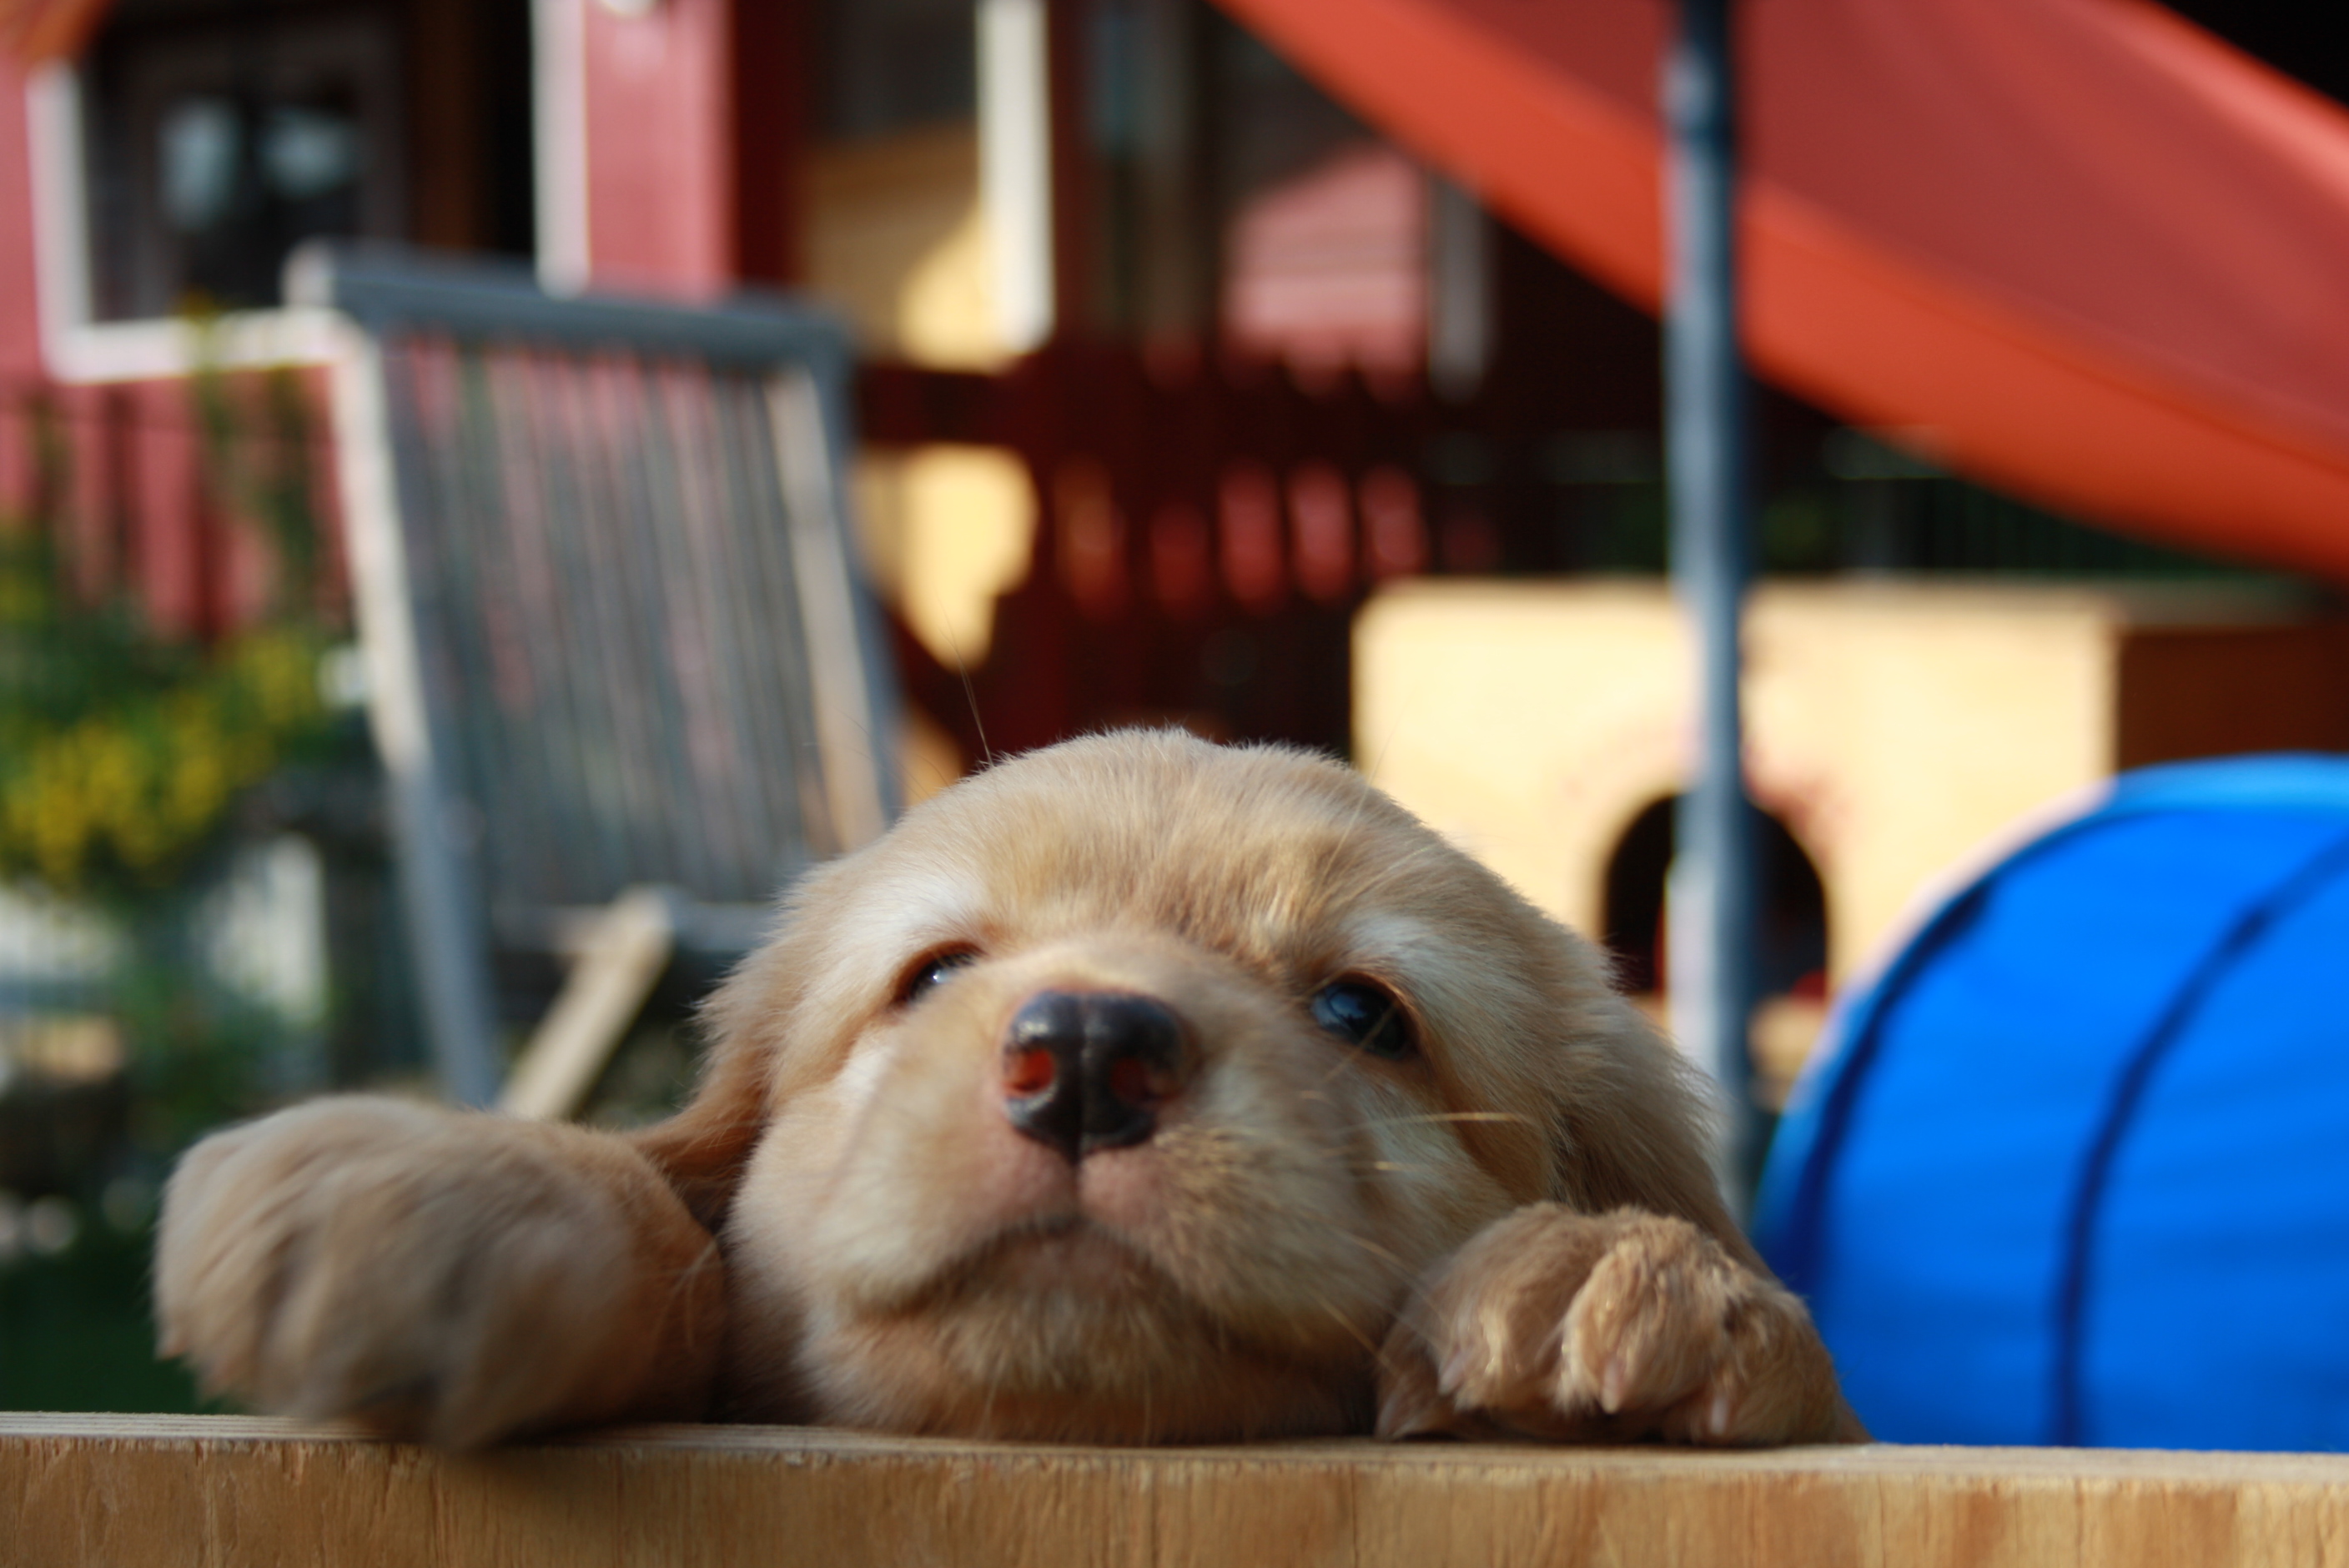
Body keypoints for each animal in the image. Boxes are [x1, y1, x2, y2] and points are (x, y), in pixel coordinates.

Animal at [155, 730, 1859, 1446]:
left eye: (1359, 1011)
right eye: (930, 975)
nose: (1086, 1054)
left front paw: (1621, 1275)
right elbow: (655, 1188)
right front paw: (443, 1186)